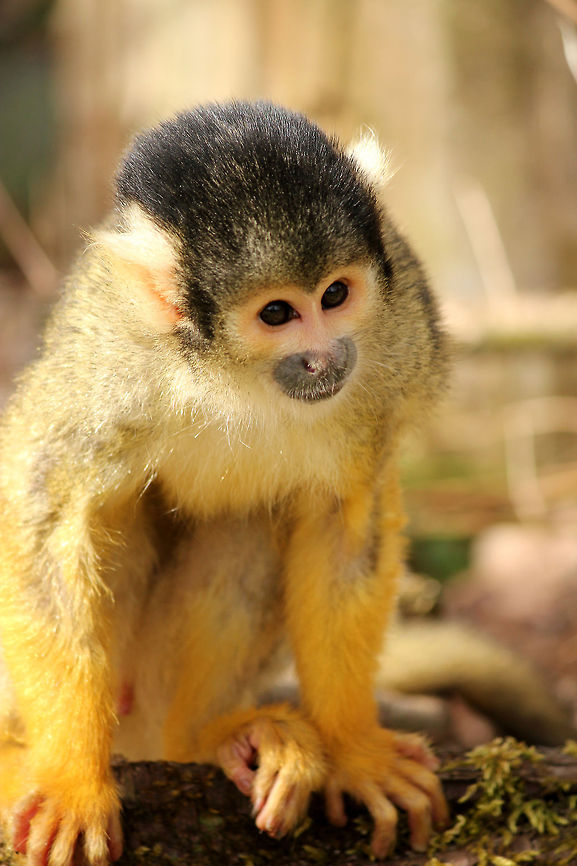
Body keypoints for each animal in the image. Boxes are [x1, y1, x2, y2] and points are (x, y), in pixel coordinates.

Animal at [0, 101, 451, 865]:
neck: (230, 375)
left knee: (249, 524)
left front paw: (355, 747)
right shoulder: (113, 359)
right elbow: (43, 508)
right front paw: (68, 779)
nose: (325, 358)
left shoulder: (397, 333)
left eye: (335, 295)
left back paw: (214, 737)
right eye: (277, 314)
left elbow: (342, 519)